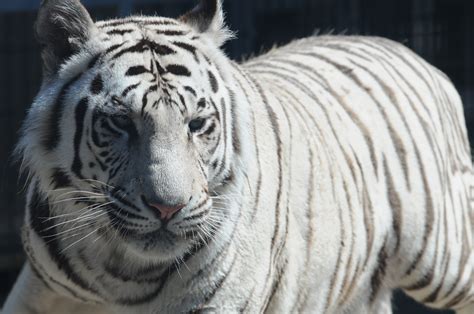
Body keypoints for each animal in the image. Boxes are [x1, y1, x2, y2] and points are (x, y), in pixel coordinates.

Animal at [1, 0, 472, 314]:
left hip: (443, 256)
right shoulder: (39, 292)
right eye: (120, 123)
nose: (167, 208)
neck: (121, 272)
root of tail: (412, 53)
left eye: (196, 124)